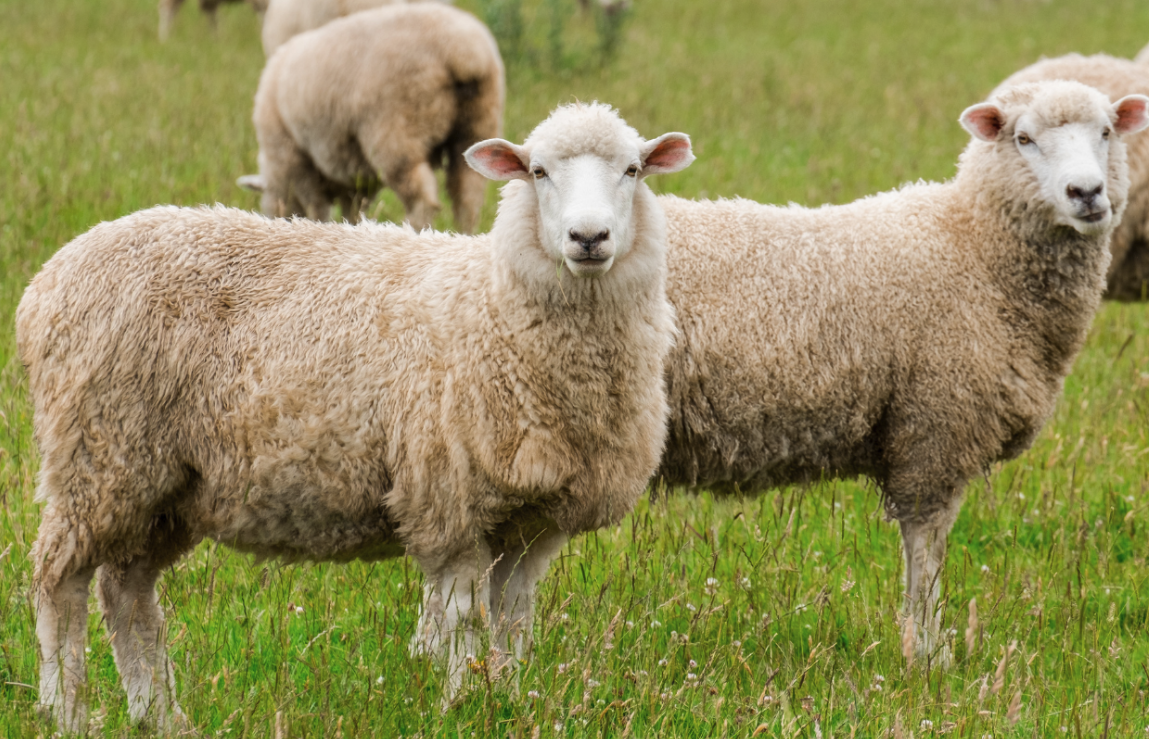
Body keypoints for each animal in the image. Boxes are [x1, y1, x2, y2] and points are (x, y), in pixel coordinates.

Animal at [22, 102, 693, 735]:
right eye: (538, 172)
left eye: (633, 170)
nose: (589, 237)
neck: (495, 304)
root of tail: (48, 279)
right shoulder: (447, 502)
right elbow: (463, 622)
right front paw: (461, 707)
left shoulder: (531, 523)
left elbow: (512, 623)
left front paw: (504, 700)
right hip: (99, 455)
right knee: (60, 583)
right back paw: (66, 711)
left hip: (164, 486)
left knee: (126, 593)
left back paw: (160, 716)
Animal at [240, 2, 505, 234]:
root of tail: (463, 53)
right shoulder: (356, 180)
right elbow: (353, 213)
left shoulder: (296, 160)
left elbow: (317, 209)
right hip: (477, 124)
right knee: (468, 198)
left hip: (397, 130)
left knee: (422, 201)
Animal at [652, 79, 1144, 666]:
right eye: (1023, 138)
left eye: (1107, 131)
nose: (1086, 193)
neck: (973, 248)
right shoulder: (935, 428)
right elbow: (926, 550)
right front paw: (927, 654)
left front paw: (924, 647)